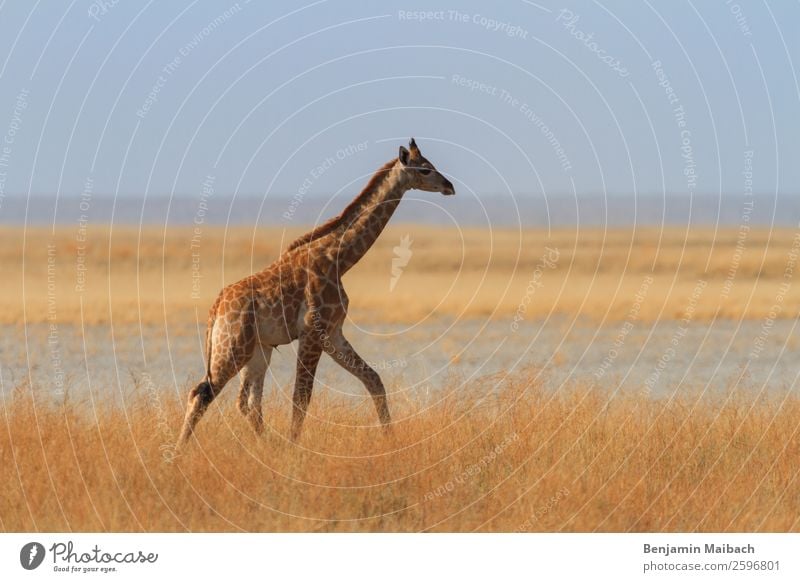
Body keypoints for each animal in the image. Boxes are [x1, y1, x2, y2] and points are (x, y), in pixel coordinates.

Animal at [179, 140, 456, 448]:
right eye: (425, 169)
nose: (450, 186)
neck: (340, 259)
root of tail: (215, 309)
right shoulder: (313, 331)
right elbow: (301, 397)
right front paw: (293, 448)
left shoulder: (333, 333)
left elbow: (373, 380)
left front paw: (390, 439)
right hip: (232, 347)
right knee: (202, 393)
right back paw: (178, 453)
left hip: (258, 350)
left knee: (247, 402)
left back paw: (264, 445)